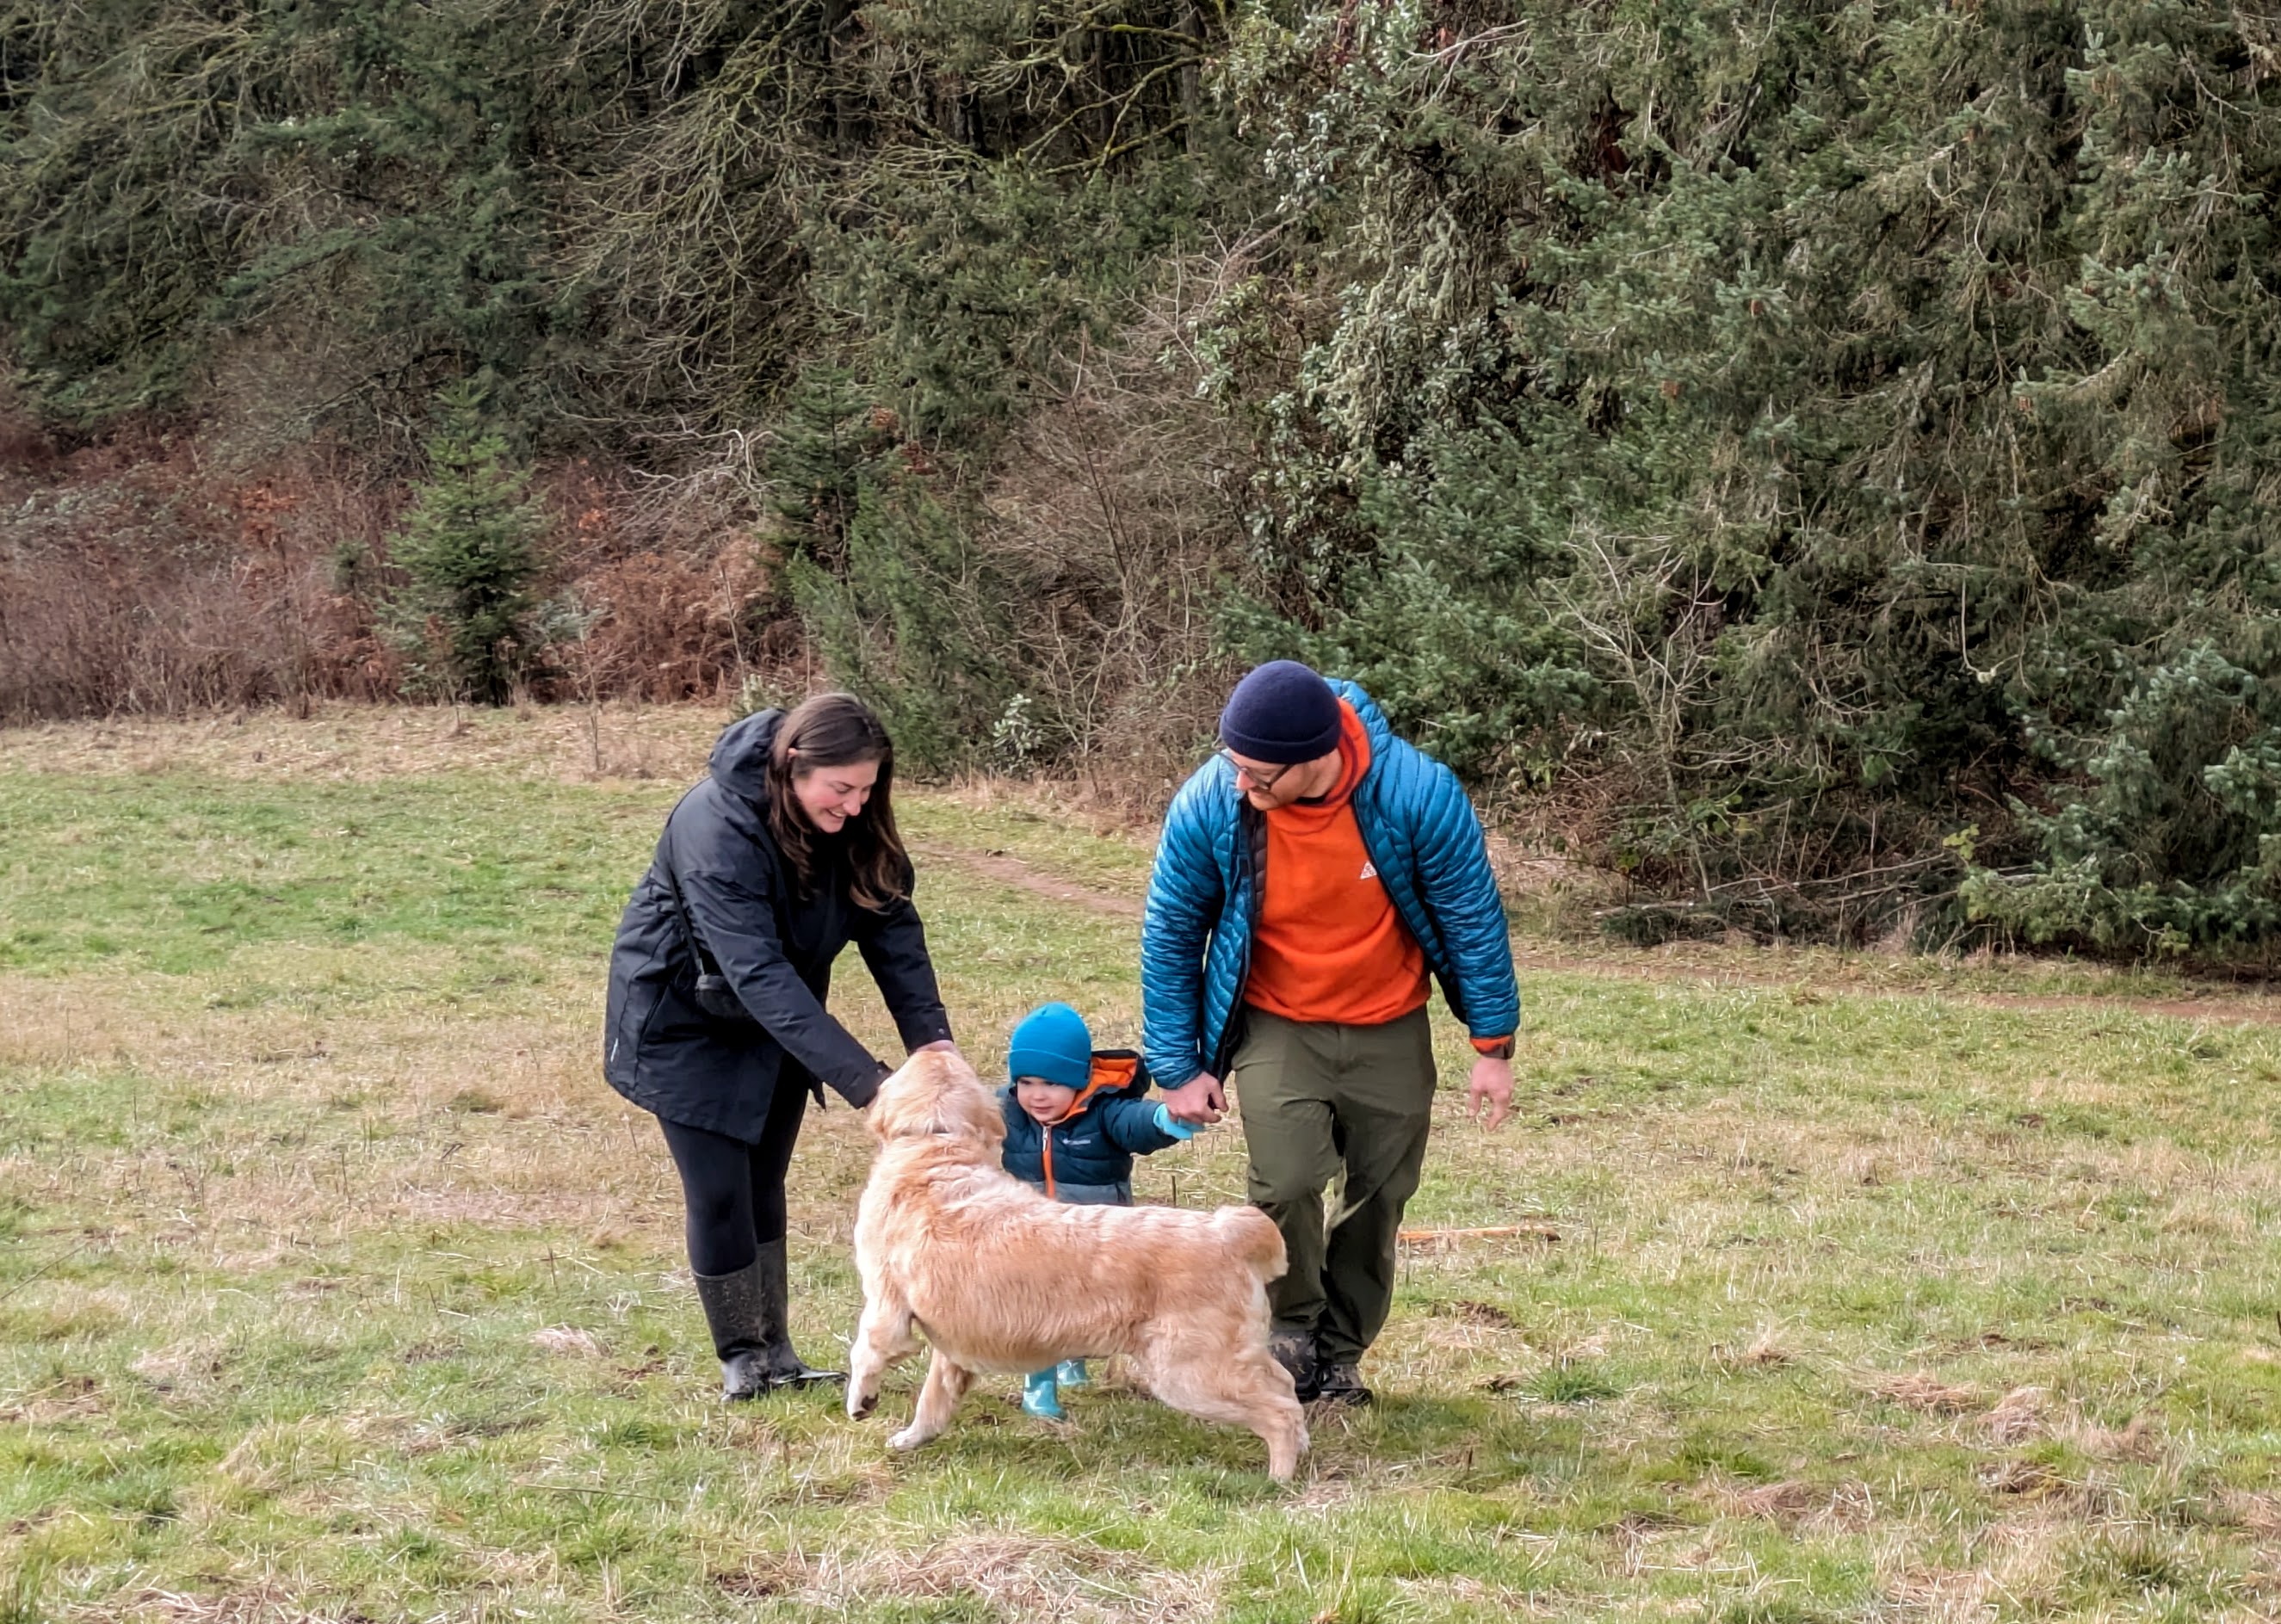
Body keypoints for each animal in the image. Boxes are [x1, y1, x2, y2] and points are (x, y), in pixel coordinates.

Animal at [848, 1044, 1314, 1478]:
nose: (933, 1044)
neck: (938, 1144)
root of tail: (1228, 1231)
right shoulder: (953, 1342)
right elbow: (934, 1399)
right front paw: (913, 1438)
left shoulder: (886, 1305)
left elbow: (866, 1351)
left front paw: (860, 1400)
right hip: (1232, 1358)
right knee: (1285, 1385)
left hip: (1189, 1373)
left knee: (1279, 1412)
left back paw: (1277, 1479)